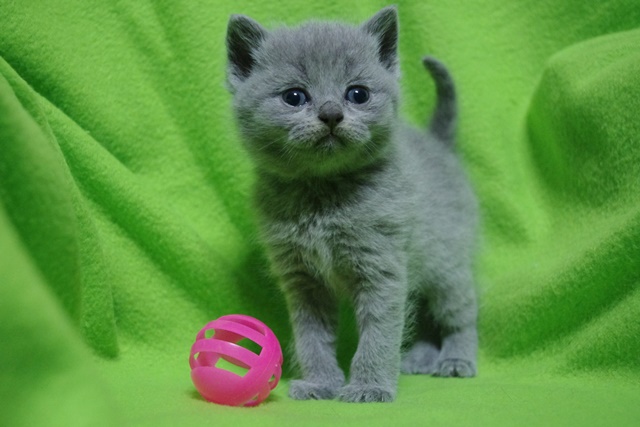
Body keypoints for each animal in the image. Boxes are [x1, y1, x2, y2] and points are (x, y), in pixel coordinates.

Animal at [225, 6, 478, 403]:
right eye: (294, 96)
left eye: (357, 93)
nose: (331, 113)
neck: (323, 197)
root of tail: (439, 145)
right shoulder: (303, 280)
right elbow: (312, 338)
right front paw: (320, 383)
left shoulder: (382, 268)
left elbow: (379, 334)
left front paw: (369, 387)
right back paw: (420, 357)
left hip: (448, 264)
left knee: (460, 312)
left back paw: (456, 360)